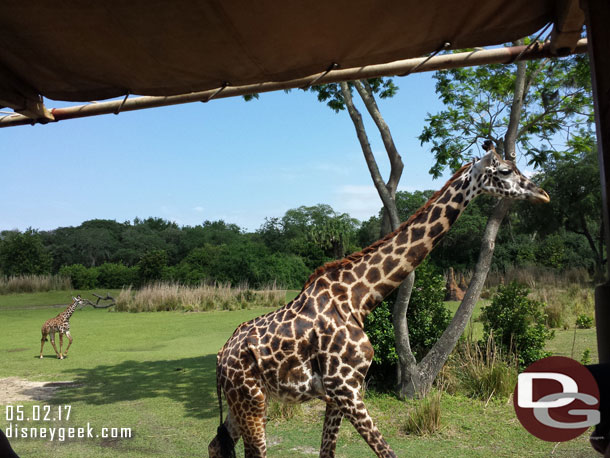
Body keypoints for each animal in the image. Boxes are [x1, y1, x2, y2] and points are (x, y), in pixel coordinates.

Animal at [207, 144, 548, 458]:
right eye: (505, 170)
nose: (542, 194)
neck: (358, 297)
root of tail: (221, 357)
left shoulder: (341, 392)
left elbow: (328, 453)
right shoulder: (345, 388)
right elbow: (387, 452)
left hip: (245, 401)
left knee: (216, 444)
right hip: (250, 398)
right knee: (252, 450)